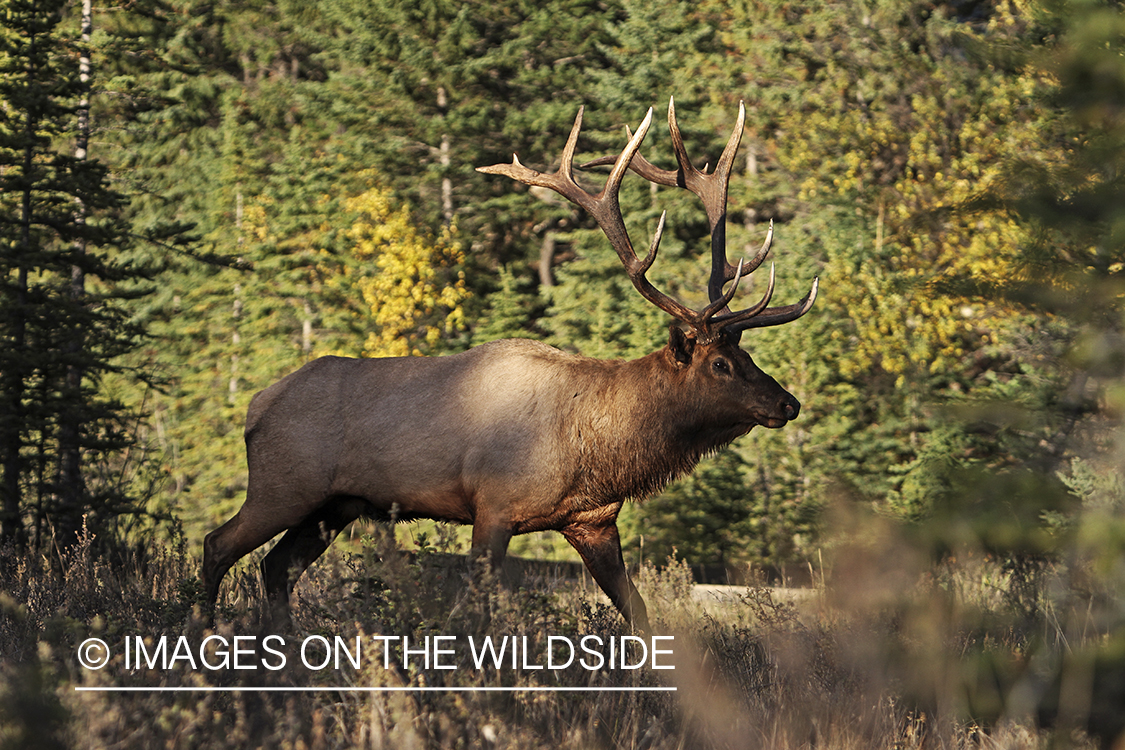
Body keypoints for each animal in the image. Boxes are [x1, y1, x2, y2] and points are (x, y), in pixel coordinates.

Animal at [202, 96, 819, 629]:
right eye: (719, 365)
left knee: (275, 568)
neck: (594, 449)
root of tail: (256, 407)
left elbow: (638, 611)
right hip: (282, 487)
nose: (787, 403)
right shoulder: (493, 507)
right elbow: (480, 612)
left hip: (332, 508)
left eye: (746, 353)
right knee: (217, 546)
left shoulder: (593, 521)